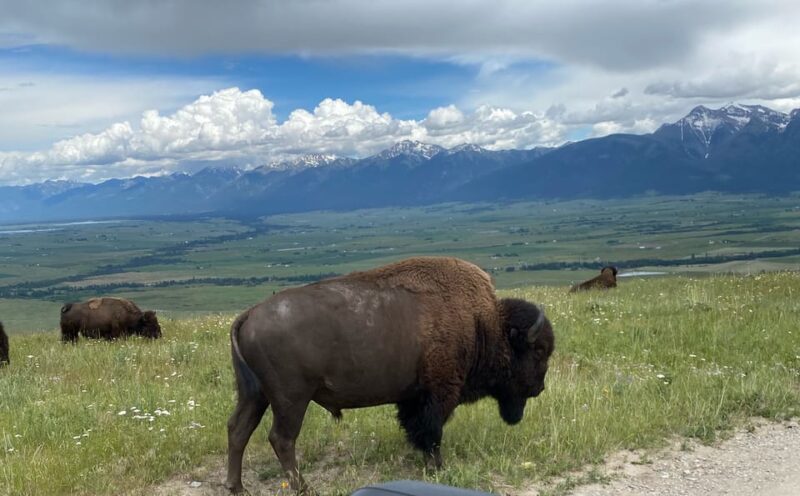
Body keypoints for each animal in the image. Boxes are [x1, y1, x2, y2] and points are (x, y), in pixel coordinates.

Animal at [225, 256, 555, 494]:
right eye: (538, 351)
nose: (539, 388)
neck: (483, 323)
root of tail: (249, 314)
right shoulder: (438, 394)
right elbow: (432, 432)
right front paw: (437, 467)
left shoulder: (413, 397)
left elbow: (417, 429)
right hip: (291, 399)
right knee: (281, 438)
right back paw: (303, 488)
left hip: (254, 394)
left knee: (238, 429)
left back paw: (237, 487)